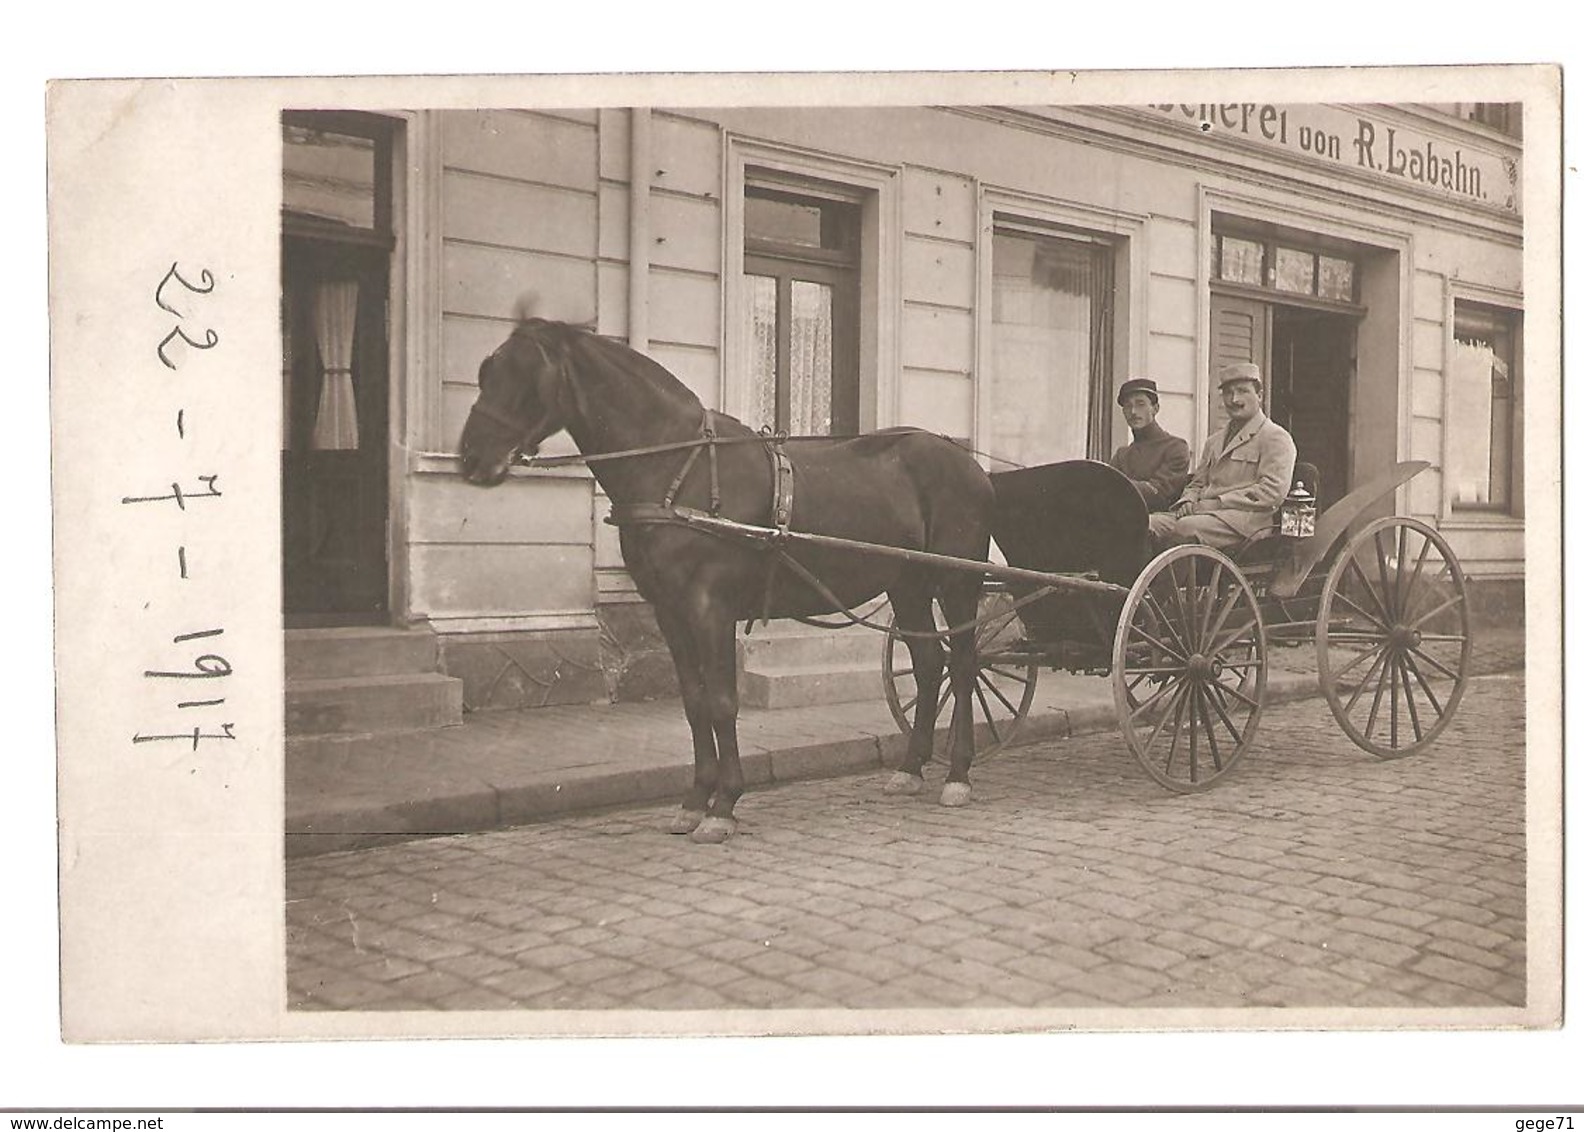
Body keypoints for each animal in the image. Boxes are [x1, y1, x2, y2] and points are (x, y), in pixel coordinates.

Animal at [459, 316, 994, 842]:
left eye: (526, 375)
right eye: (486, 370)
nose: (470, 458)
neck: (677, 469)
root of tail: (969, 463)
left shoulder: (710, 608)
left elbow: (721, 702)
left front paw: (724, 805)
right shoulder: (670, 611)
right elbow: (695, 703)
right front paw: (696, 800)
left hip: (957, 583)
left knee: (964, 665)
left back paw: (958, 774)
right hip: (908, 585)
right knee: (929, 665)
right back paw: (910, 768)